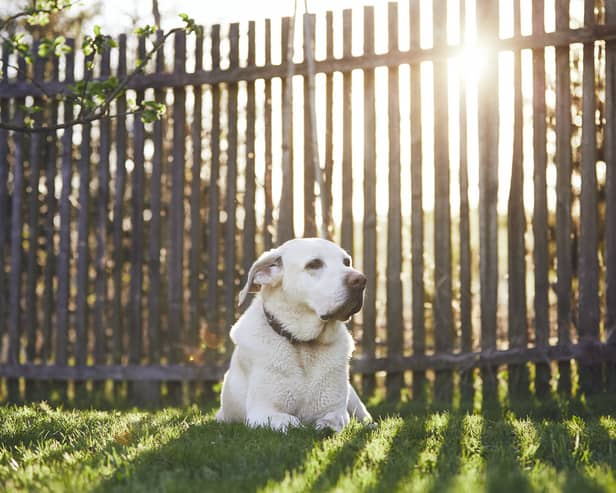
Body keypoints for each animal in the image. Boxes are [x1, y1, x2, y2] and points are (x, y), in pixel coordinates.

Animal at [215, 236, 370, 428]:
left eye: (346, 262)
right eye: (314, 264)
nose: (361, 280)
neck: (304, 346)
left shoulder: (336, 410)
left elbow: (333, 420)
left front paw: (325, 425)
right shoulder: (263, 412)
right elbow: (294, 422)